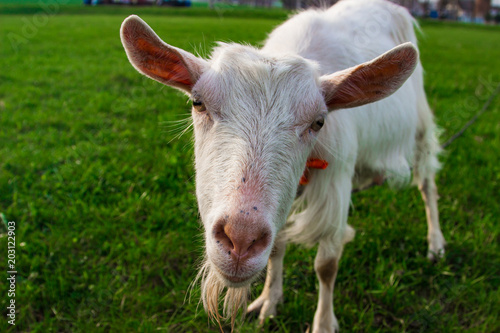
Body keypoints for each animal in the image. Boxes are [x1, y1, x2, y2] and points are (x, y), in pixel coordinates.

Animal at [120, 0, 446, 330]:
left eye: (319, 122)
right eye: (197, 103)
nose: (241, 240)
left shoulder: (336, 186)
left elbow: (327, 265)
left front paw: (323, 323)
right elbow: (277, 247)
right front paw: (269, 301)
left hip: (421, 128)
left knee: (427, 184)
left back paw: (435, 243)